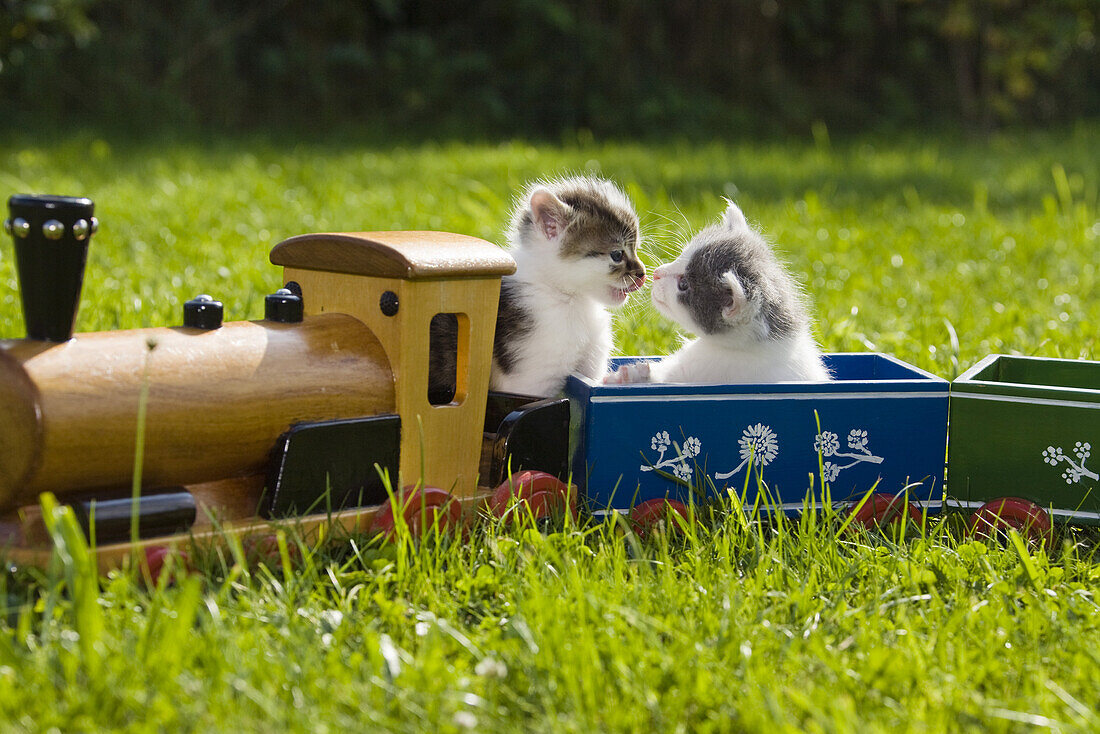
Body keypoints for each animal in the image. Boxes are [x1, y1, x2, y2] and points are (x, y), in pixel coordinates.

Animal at [426, 176, 642, 402]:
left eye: (636, 249)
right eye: (617, 255)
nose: (643, 274)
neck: (572, 300)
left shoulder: (591, 368)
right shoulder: (530, 380)